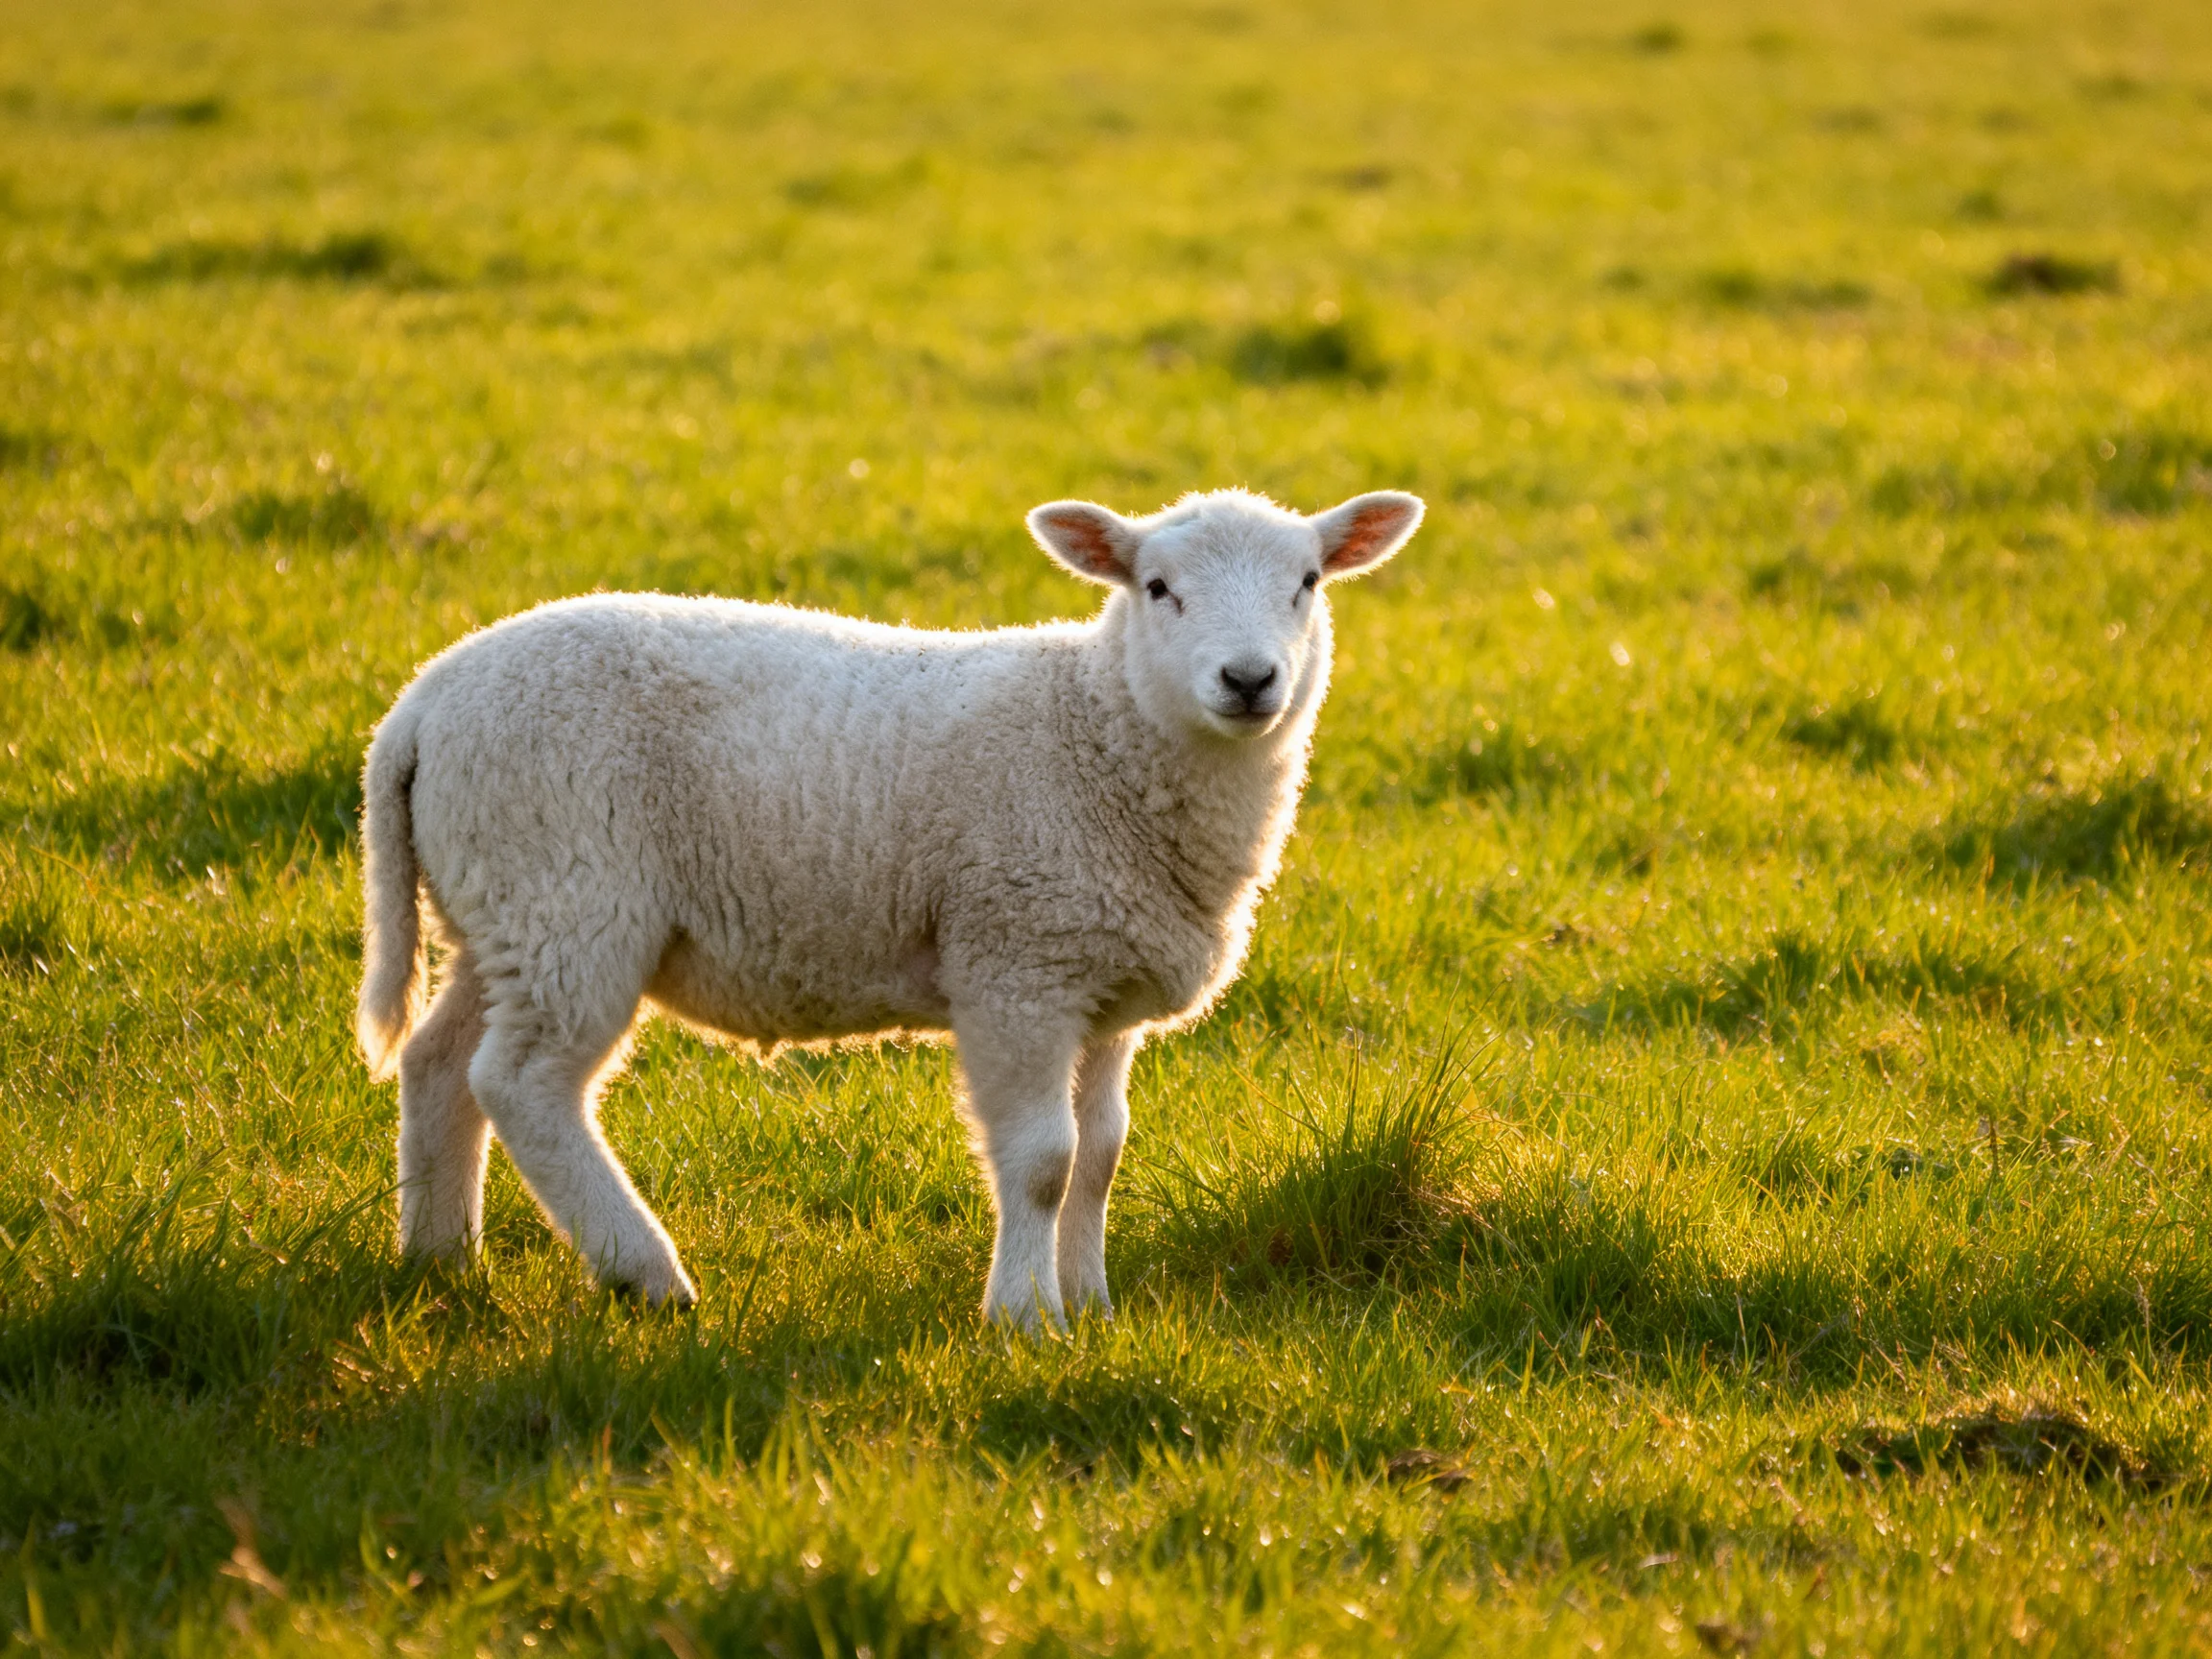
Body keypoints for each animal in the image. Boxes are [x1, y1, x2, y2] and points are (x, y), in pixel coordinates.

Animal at [355, 486, 1424, 1326]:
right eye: (1157, 589)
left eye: (1308, 583)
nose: (1249, 679)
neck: (1098, 727)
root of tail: (420, 707)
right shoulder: (1016, 964)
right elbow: (1043, 1159)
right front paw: (1025, 1317)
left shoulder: (1101, 987)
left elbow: (1102, 1155)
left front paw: (1090, 1306)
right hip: (569, 892)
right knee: (525, 1084)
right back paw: (646, 1275)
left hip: (497, 911)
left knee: (440, 1063)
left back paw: (440, 1259)